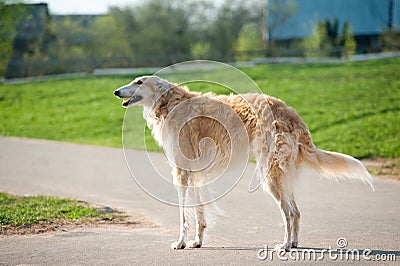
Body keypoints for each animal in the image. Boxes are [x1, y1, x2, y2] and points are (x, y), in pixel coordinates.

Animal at [114, 76, 374, 250]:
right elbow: (198, 212)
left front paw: (180, 243)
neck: (171, 103)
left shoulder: (181, 172)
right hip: (282, 174)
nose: (116, 91)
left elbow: (183, 214)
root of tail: (291, 113)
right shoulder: (196, 173)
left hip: (270, 175)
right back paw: (294, 243)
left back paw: (284, 245)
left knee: (288, 212)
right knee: (297, 212)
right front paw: (197, 241)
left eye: (139, 81)